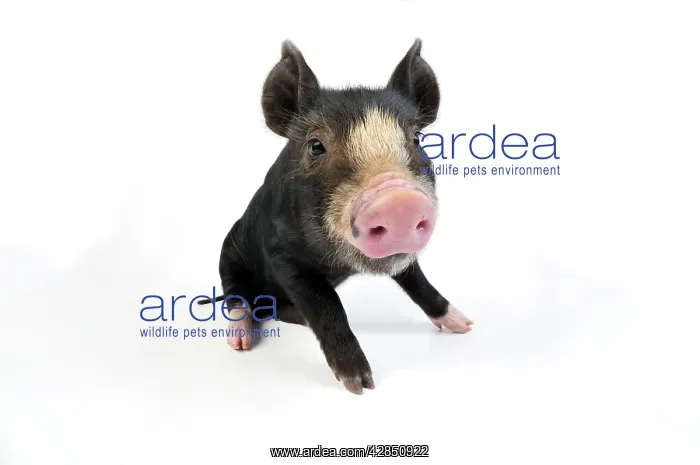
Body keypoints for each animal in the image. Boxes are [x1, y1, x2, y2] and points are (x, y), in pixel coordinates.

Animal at [200, 39, 473, 394]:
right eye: (316, 146)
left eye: (416, 140)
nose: (399, 201)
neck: (340, 266)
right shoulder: (282, 257)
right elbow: (326, 307)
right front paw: (361, 386)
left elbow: (419, 283)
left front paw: (466, 326)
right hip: (229, 255)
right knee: (237, 298)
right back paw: (241, 342)